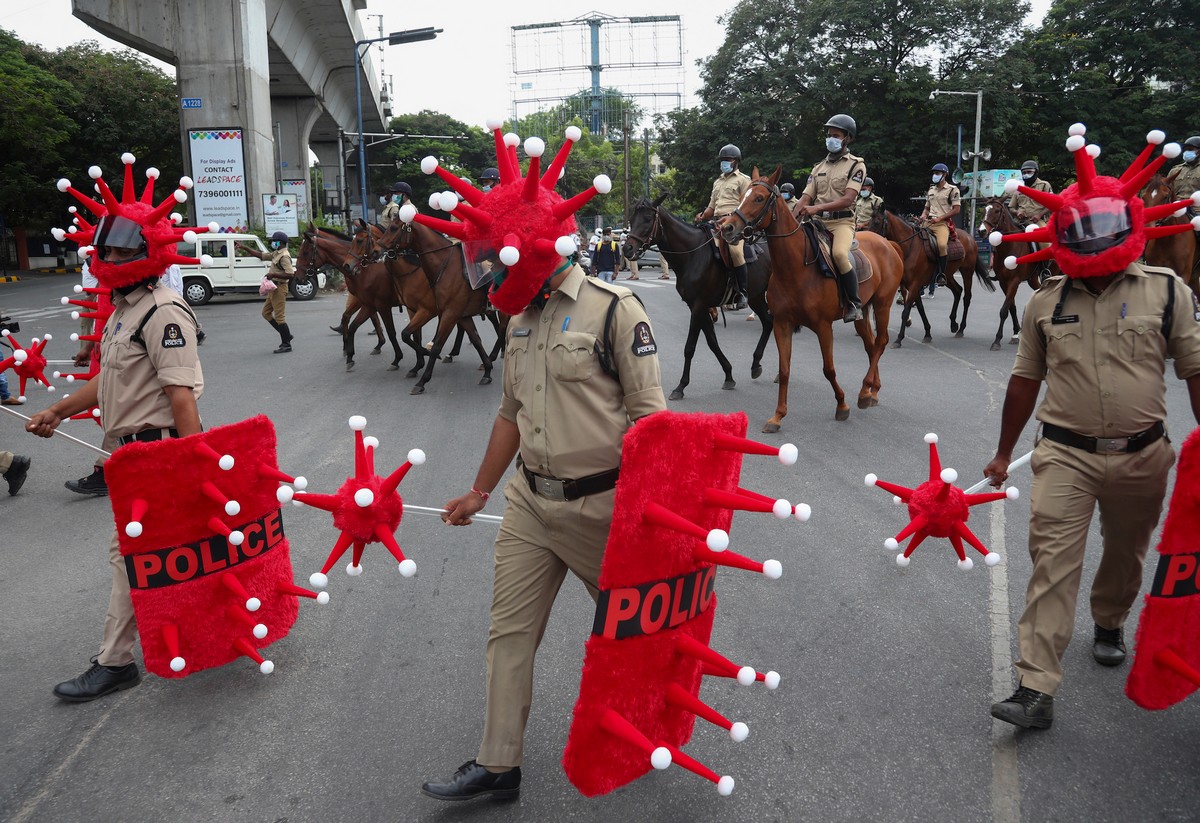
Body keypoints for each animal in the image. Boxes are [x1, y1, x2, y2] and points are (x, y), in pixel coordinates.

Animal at [619, 193, 777, 400]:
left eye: (647, 218)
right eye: (631, 219)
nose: (627, 249)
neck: (692, 254)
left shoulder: (698, 305)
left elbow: (690, 347)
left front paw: (681, 386)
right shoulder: (697, 306)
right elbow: (712, 342)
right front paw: (728, 375)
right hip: (756, 296)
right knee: (767, 323)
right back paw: (756, 364)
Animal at [715, 164, 902, 429]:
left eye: (759, 198)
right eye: (742, 196)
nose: (727, 228)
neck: (795, 268)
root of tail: (888, 243)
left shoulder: (823, 327)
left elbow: (829, 369)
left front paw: (842, 405)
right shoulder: (782, 324)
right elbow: (784, 370)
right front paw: (778, 416)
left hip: (883, 304)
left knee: (882, 341)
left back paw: (864, 392)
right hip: (862, 311)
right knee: (871, 344)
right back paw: (872, 391)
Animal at [868, 211, 998, 345]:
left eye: (877, 222)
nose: (868, 238)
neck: (909, 247)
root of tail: (970, 237)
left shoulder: (915, 284)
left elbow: (906, 311)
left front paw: (899, 339)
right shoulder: (911, 285)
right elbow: (920, 308)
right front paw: (927, 333)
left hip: (967, 271)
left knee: (966, 297)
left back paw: (961, 328)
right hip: (947, 275)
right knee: (957, 291)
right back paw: (953, 324)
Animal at [979, 202, 1046, 355]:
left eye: (997, 211)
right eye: (984, 210)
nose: (981, 231)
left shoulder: (1014, 281)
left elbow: (1004, 310)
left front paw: (997, 340)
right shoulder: (1004, 283)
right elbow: (1011, 308)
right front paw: (1016, 334)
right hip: (1032, 279)